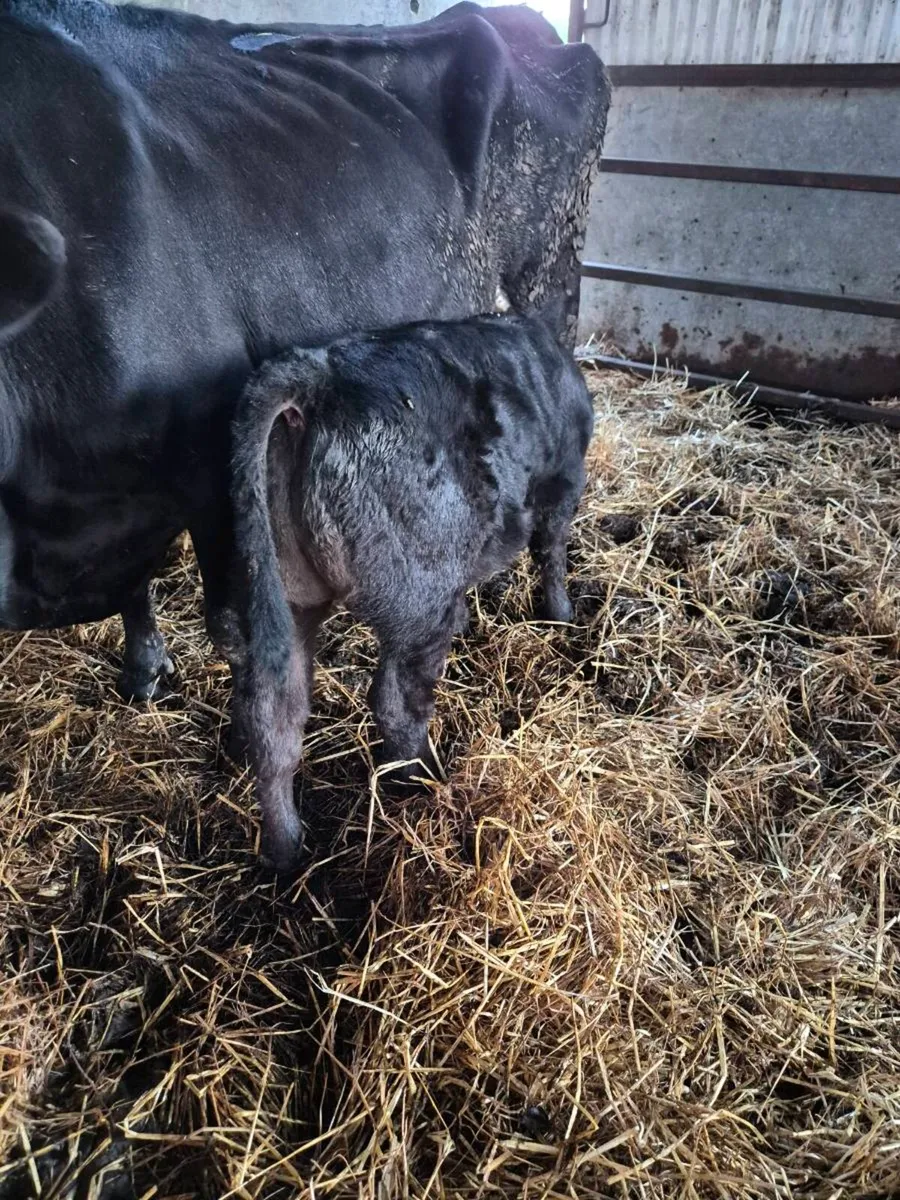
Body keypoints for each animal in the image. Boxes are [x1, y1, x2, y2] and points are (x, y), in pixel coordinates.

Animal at [0, 0, 609, 712]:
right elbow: (135, 590)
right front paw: (145, 673)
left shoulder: (213, 460)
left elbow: (235, 625)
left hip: (551, 284)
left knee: (554, 503)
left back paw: (549, 605)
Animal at [231, 314, 594, 869]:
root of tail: (318, 377)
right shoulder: (564, 481)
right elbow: (551, 551)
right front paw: (561, 615)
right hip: (418, 600)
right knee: (395, 701)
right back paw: (425, 782)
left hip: (289, 597)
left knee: (274, 720)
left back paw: (288, 853)